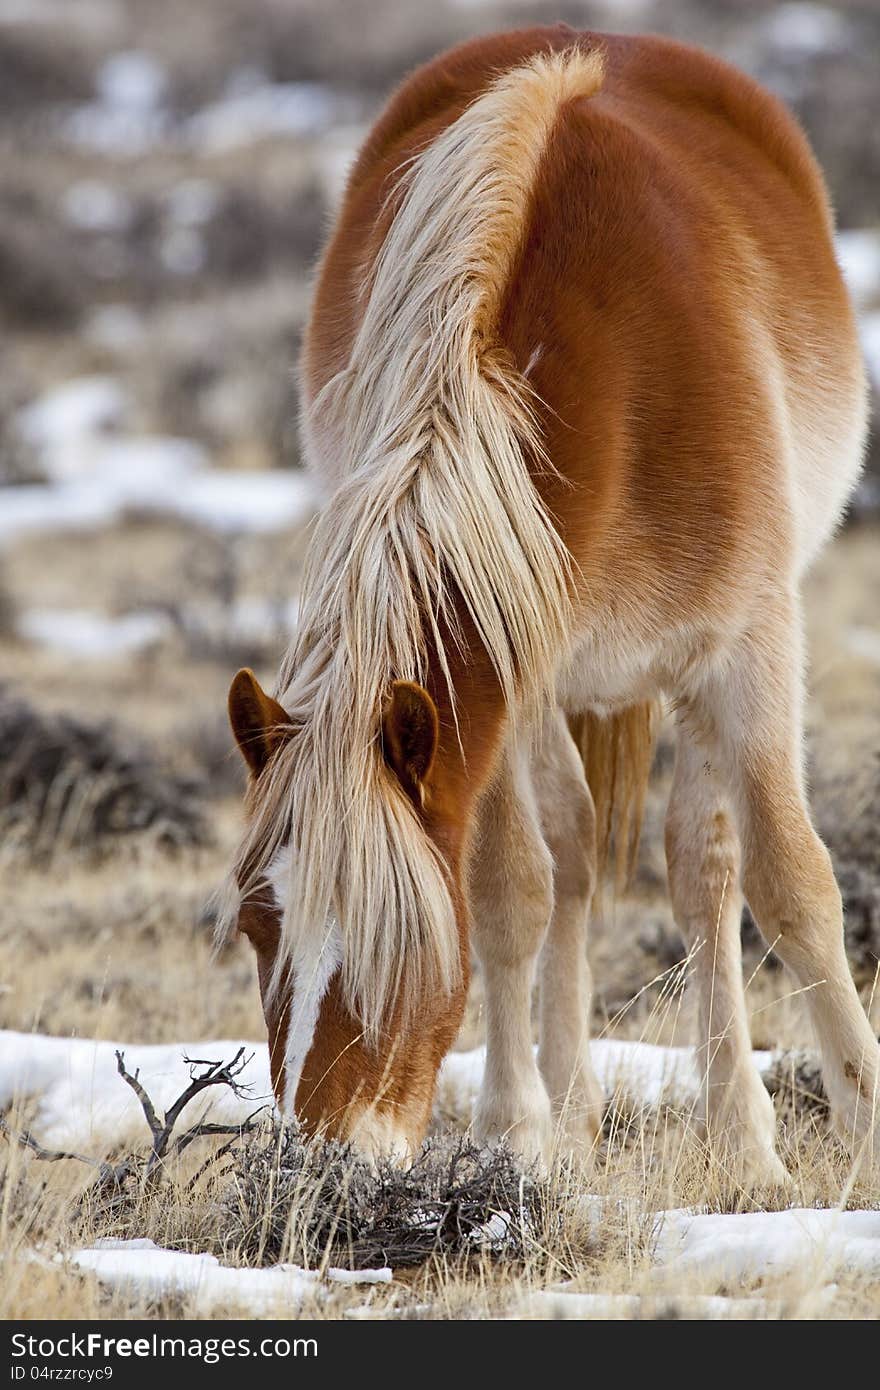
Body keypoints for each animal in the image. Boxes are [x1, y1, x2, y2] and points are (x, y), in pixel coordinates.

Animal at [218, 24, 873, 1184]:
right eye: (259, 924)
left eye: (401, 944)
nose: (321, 1168)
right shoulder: (509, 671)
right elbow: (514, 889)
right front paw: (516, 1128)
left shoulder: (752, 643)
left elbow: (792, 882)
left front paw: (853, 1116)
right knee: (574, 860)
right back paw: (575, 1104)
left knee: (703, 869)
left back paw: (738, 1131)